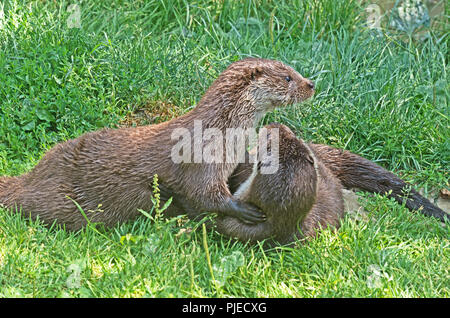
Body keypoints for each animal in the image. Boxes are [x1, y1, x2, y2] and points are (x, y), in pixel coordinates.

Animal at [0, 58, 314, 230]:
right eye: (288, 77)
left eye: (294, 70)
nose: (311, 84)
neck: (221, 130)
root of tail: (30, 179)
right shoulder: (202, 159)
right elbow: (204, 194)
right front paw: (245, 210)